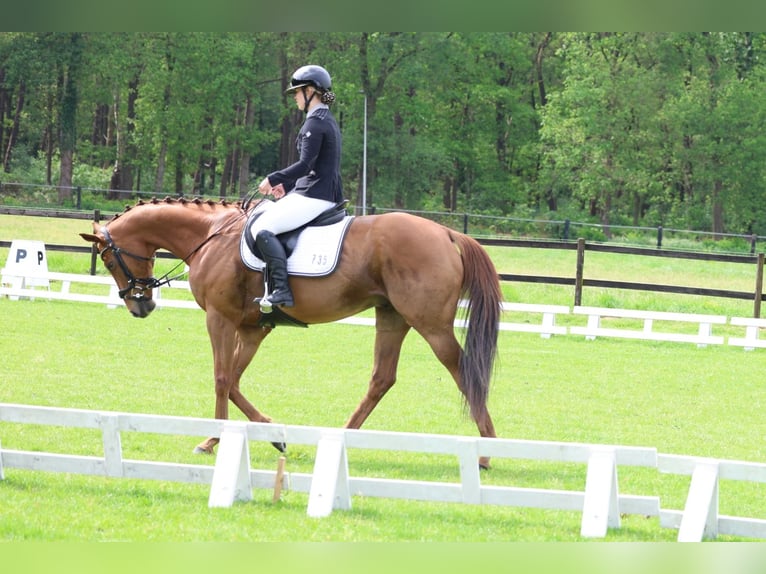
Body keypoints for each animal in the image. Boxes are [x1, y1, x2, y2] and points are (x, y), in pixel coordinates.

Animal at [82, 197, 504, 468]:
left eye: (108, 259)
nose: (140, 306)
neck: (212, 235)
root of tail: (446, 233)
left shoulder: (220, 318)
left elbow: (221, 378)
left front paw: (212, 440)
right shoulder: (252, 328)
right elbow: (234, 381)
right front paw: (274, 434)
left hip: (429, 323)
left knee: (463, 371)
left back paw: (486, 454)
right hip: (392, 316)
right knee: (382, 378)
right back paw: (337, 441)